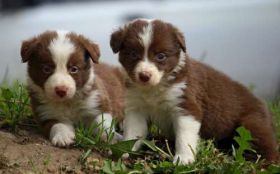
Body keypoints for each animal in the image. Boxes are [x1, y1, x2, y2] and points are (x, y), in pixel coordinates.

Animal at [110, 19, 278, 164]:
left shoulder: (186, 106)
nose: (144, 76)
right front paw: (124, 152)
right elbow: (133, 133)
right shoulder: (136, 109)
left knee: (269, 149)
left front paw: (183, 159)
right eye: (133, 54)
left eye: (161, 56)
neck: (154, 88)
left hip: (252, 124)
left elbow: (184, 137)